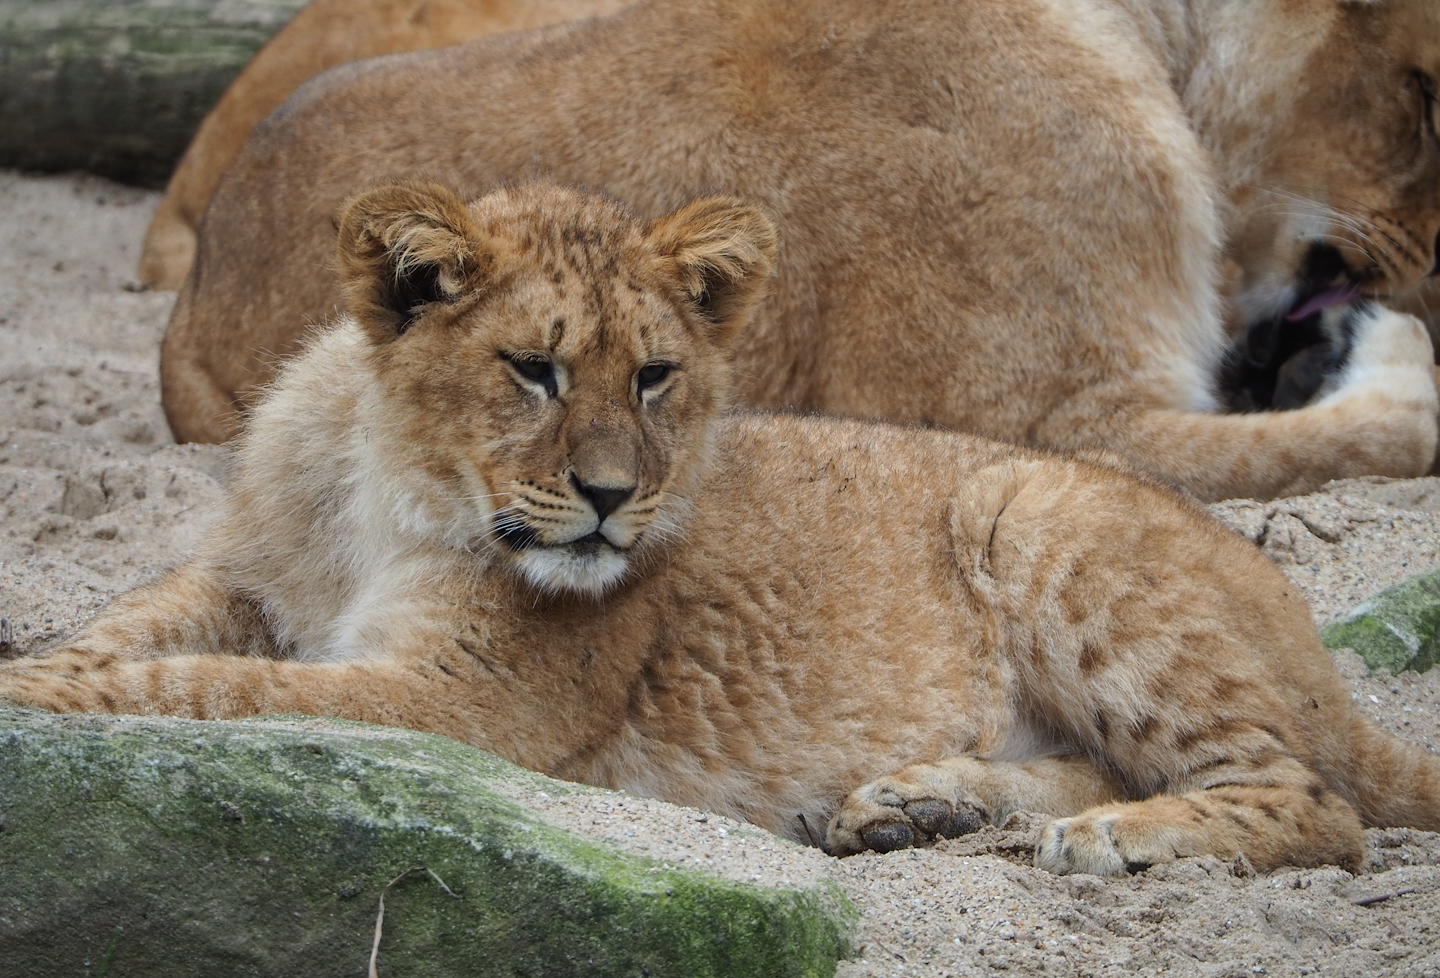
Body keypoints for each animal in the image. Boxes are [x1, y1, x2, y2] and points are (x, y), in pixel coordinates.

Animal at [8, 181, 1440, 875]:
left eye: (654, 377)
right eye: (532, 370)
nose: (608, 499)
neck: (384, 488)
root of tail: (1309, 644)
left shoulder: (460, 706)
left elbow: (208, 688)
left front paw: (32, 696)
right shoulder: (245, 581)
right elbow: (136, 631)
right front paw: (45, 662)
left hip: (1044, 516)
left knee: (1309, 802)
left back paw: (1108, 841)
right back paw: (924, 804)